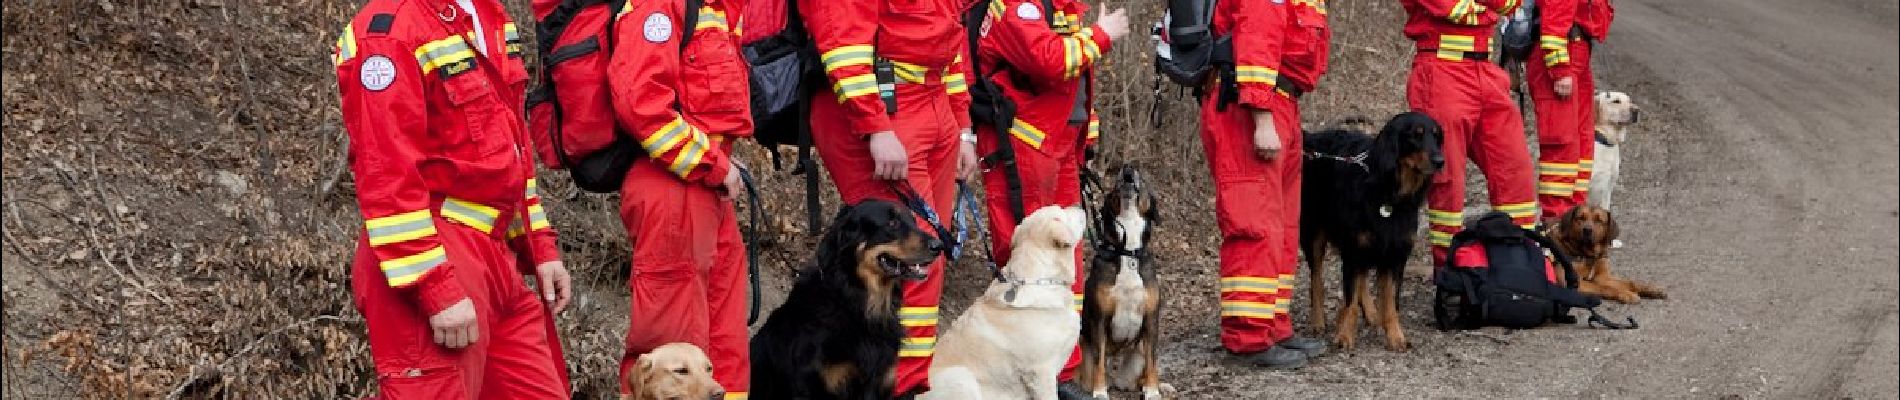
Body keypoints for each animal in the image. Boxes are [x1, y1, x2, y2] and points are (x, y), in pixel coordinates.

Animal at [1079, 165, 1162, 400]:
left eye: (1142, 177)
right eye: (1115, 183)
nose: (1128, 168)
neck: (1127, 251)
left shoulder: (1151, 319)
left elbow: (1152, 362)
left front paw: (1153, 390)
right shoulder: (1099, 320)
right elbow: (1099, 360)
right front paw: (1100, 392)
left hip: (1137, 355)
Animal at [1299, 110, 1444, 350]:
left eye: (1437, 135)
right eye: (1415, 135)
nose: (1440, 161)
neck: (1390, 195)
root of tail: (1311, 137)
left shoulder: (1395, 255)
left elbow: (1391, 302)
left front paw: (1396, 336)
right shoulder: (1353, 249)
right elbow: (1350, 299)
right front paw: (1345, 335)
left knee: (1362, 279)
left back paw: (1371, 312)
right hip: (1314, 234)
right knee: (1317, 279)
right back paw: (1318, 321)